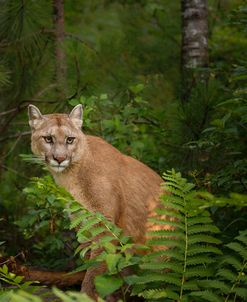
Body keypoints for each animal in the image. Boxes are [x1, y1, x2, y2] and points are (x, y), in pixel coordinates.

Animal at [29, 105, 167, 298]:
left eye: (70, 139)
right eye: (48, 139)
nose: (60, 158)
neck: (70, 175)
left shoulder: (105, 224)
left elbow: (95, 270)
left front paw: (86, 296)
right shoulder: (84, 225)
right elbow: (93, 262)